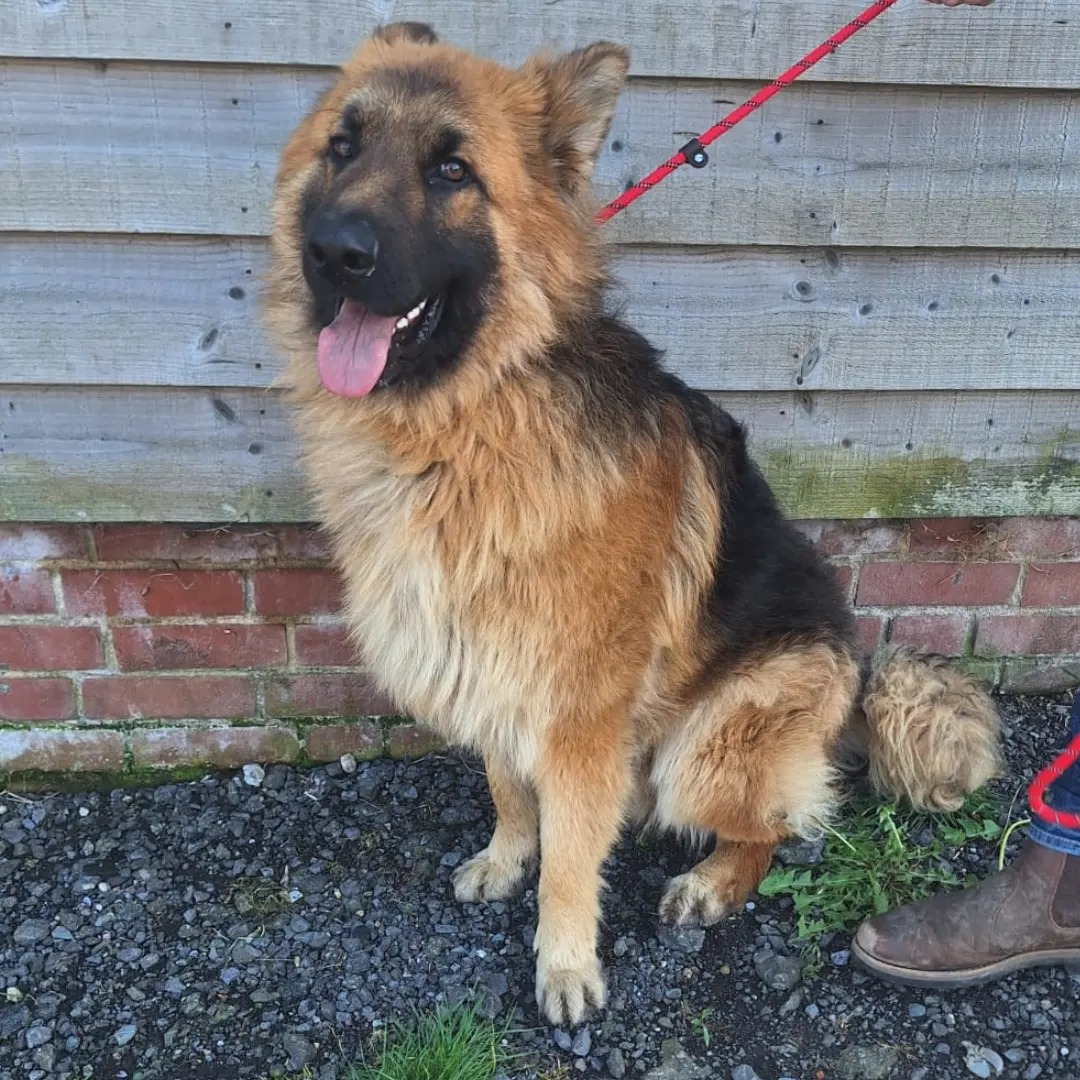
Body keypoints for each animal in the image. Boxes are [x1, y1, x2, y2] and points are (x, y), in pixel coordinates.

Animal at [263, 23, 1002, 1019]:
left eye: (453, 170)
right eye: (341, 147)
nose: (333, 251)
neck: (473, 418)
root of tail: (854, 683)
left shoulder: (579, 710)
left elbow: (573, 855)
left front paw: (566, 962)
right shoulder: (486, 659)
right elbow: (509, 787)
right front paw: (506, 856)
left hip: (710, 746)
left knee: (778, 827)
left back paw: (713, 883)